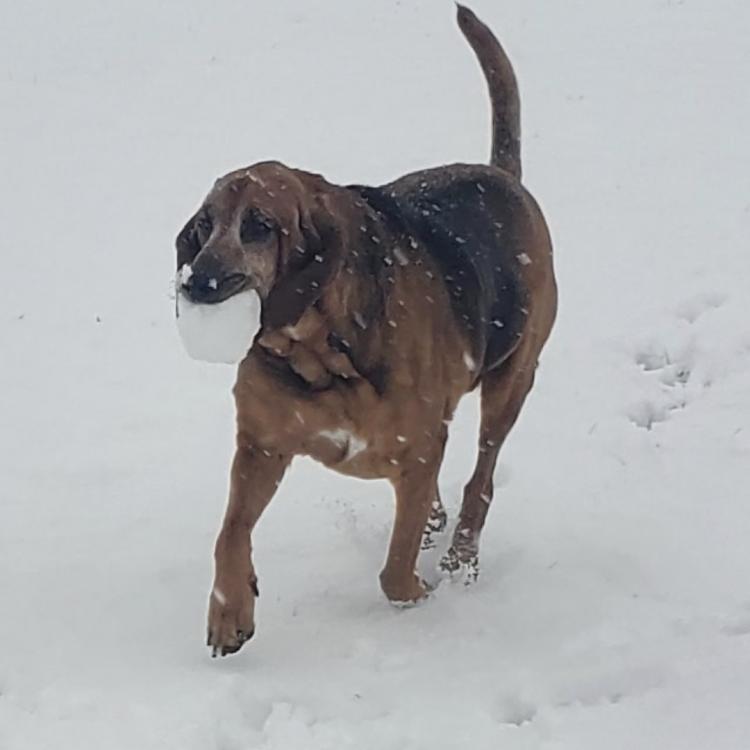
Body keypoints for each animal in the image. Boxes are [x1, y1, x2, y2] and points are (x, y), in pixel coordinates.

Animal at [178, 2, 560, 656]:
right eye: (204, 225)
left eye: (258, 226)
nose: (195, 283)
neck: (317, 351)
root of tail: (501, 175)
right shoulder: (260, 445)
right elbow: (230, 533)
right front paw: (230, 613)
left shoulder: (420, 445)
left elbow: (395, 568)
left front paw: (419, 597)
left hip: (512, 380)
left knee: (480, 480)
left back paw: (459, 555)